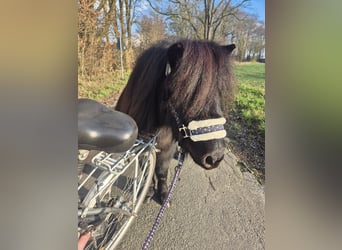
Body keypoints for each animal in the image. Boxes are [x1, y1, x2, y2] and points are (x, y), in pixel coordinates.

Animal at [115, 39, 235, 203]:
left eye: (220, 91)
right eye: (184, 93)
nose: (215, 157)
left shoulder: (167, 148)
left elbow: (162, 171)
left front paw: (164, 193)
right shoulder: (143, 147)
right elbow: (147, 170)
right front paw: (148, 191)